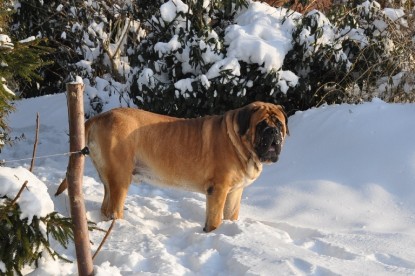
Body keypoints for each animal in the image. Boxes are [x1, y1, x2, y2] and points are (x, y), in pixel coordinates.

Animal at [56, 101, 290, 231]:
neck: (240, 143)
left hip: (108, 177)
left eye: (279, 124)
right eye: (261, 124)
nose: (273, 132)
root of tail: (100, 116)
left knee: (106, 206)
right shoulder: (219, 190)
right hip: (120, 176)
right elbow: (214, 220)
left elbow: (231, 214)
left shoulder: (234, 192)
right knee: (114, 209)